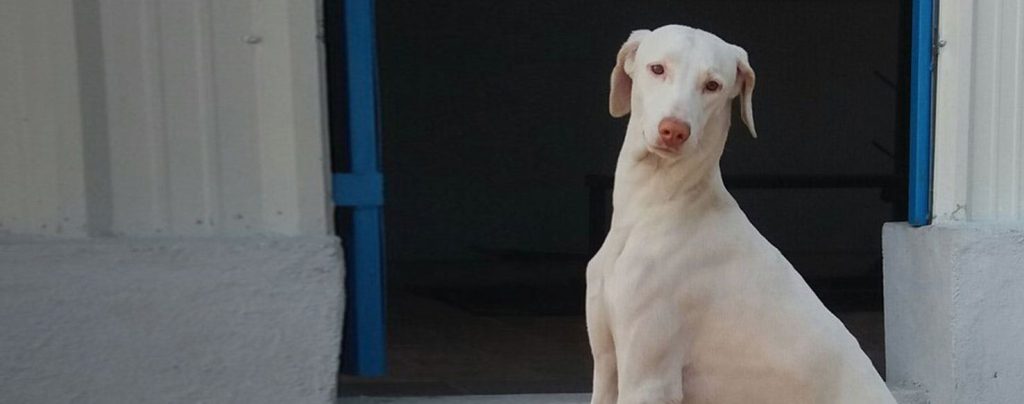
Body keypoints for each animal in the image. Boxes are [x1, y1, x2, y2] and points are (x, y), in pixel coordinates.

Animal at [585, 26, 897, 404]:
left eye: (712, 85)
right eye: (657, 68)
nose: (674, 130)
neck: (657, 208)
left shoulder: (648, 379)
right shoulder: (607, 366)